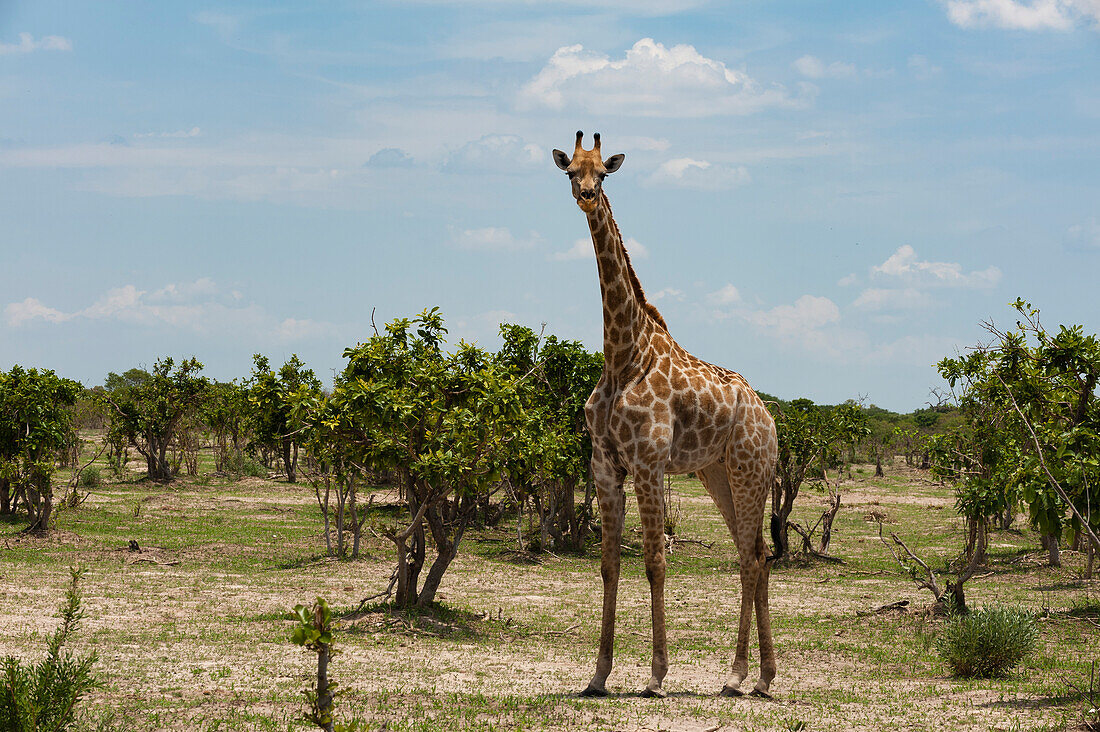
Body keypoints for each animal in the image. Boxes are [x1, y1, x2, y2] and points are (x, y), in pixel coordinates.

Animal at [550, 129, 783, 695]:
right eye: (571, 170)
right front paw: (598, 674)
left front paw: (656, 675)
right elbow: (609, 564)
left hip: (749, 471)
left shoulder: (649, 463)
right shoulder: (605, 465)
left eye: (603, 173)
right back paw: (758, 676)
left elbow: (655, 561)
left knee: (752, 558)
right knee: (754, 555)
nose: (586, 196)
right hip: (717, 474)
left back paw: (741, 675)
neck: (623, 354)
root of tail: (769, 418)